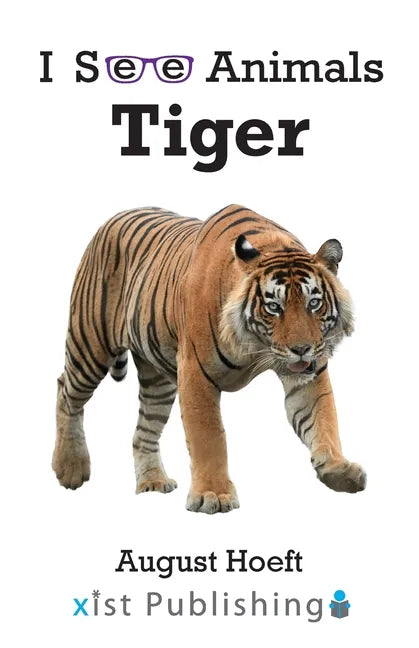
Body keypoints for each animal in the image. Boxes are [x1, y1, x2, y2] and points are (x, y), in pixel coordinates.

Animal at [53, 204, 366, 514]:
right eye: (273, 307)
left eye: (314, 303)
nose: (302, 349)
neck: (254, 346)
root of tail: (113, 218)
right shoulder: (195, 373)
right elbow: (209, 436)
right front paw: (213, 494)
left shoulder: (309, 377)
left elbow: (323, 418)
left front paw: (338, 470)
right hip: (90, 346)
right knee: (66, 392)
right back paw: (70, 467)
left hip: (158, 381)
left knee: (144, 429)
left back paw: (153, 481)